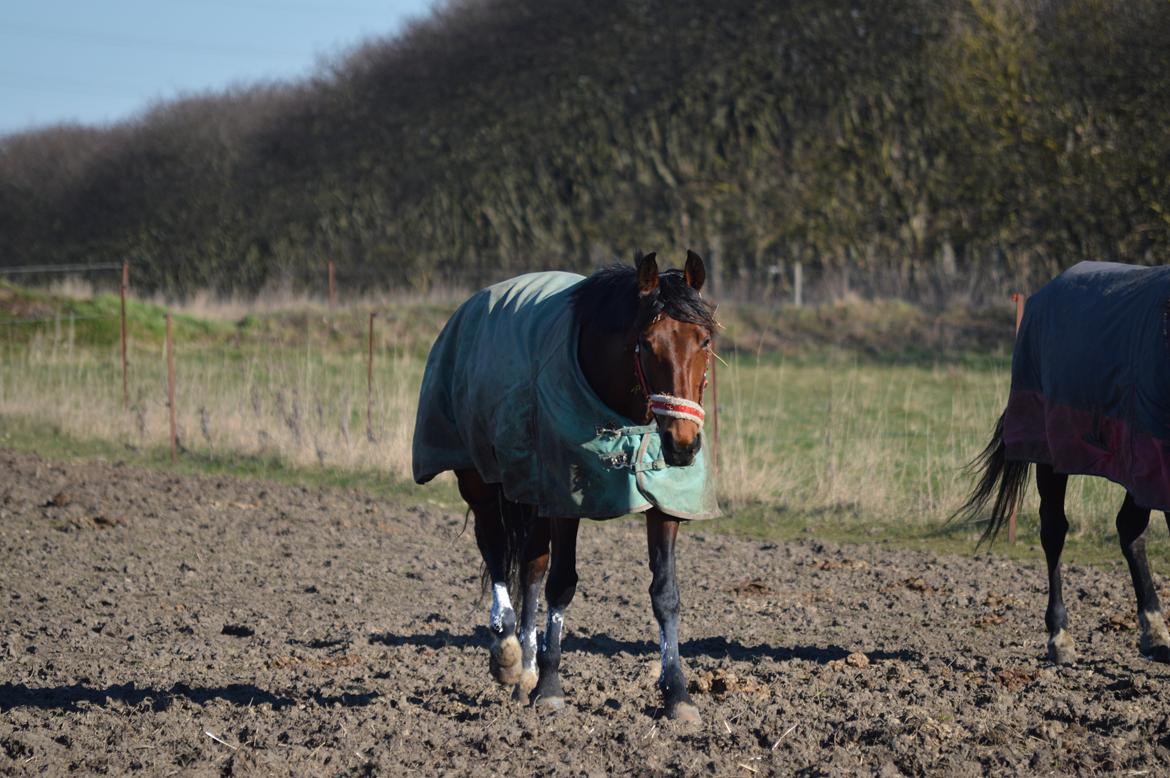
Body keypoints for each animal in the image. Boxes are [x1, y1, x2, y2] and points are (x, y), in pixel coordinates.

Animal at [411, 251, 720, 720]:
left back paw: (525, 669)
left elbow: (665, 593)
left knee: (531, 568)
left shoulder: (662, 500)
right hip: (481, 482)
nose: (682, 444)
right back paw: (507, 651)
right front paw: (551, 687)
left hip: (532, 492)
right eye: (648, 343)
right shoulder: (564, 499)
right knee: (497, 550)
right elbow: (562, 584)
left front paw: (677, 694)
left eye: (702, 340)